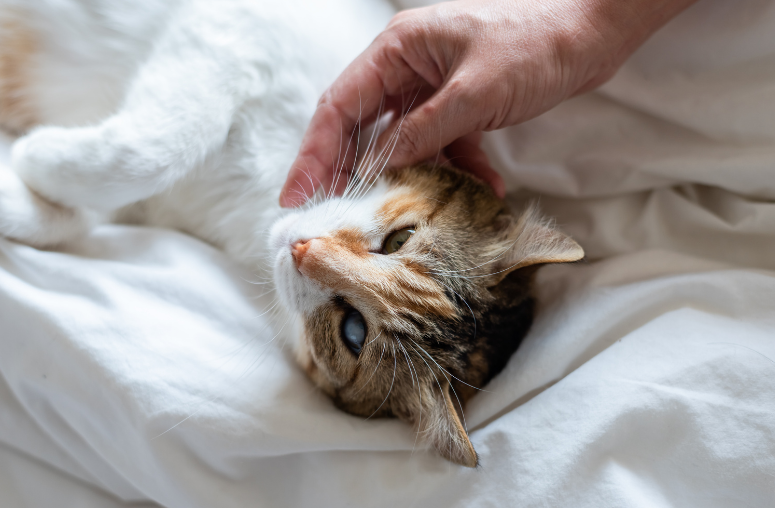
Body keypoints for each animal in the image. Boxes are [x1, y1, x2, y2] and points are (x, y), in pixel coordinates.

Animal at [0, 0, 584, 468]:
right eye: (399, 240)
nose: (303, 249)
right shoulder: (239, 27)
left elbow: (86, 207)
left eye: (353, 333)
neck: (263, 193)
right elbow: (165, 142)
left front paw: (24, 168)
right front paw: (38, 153)